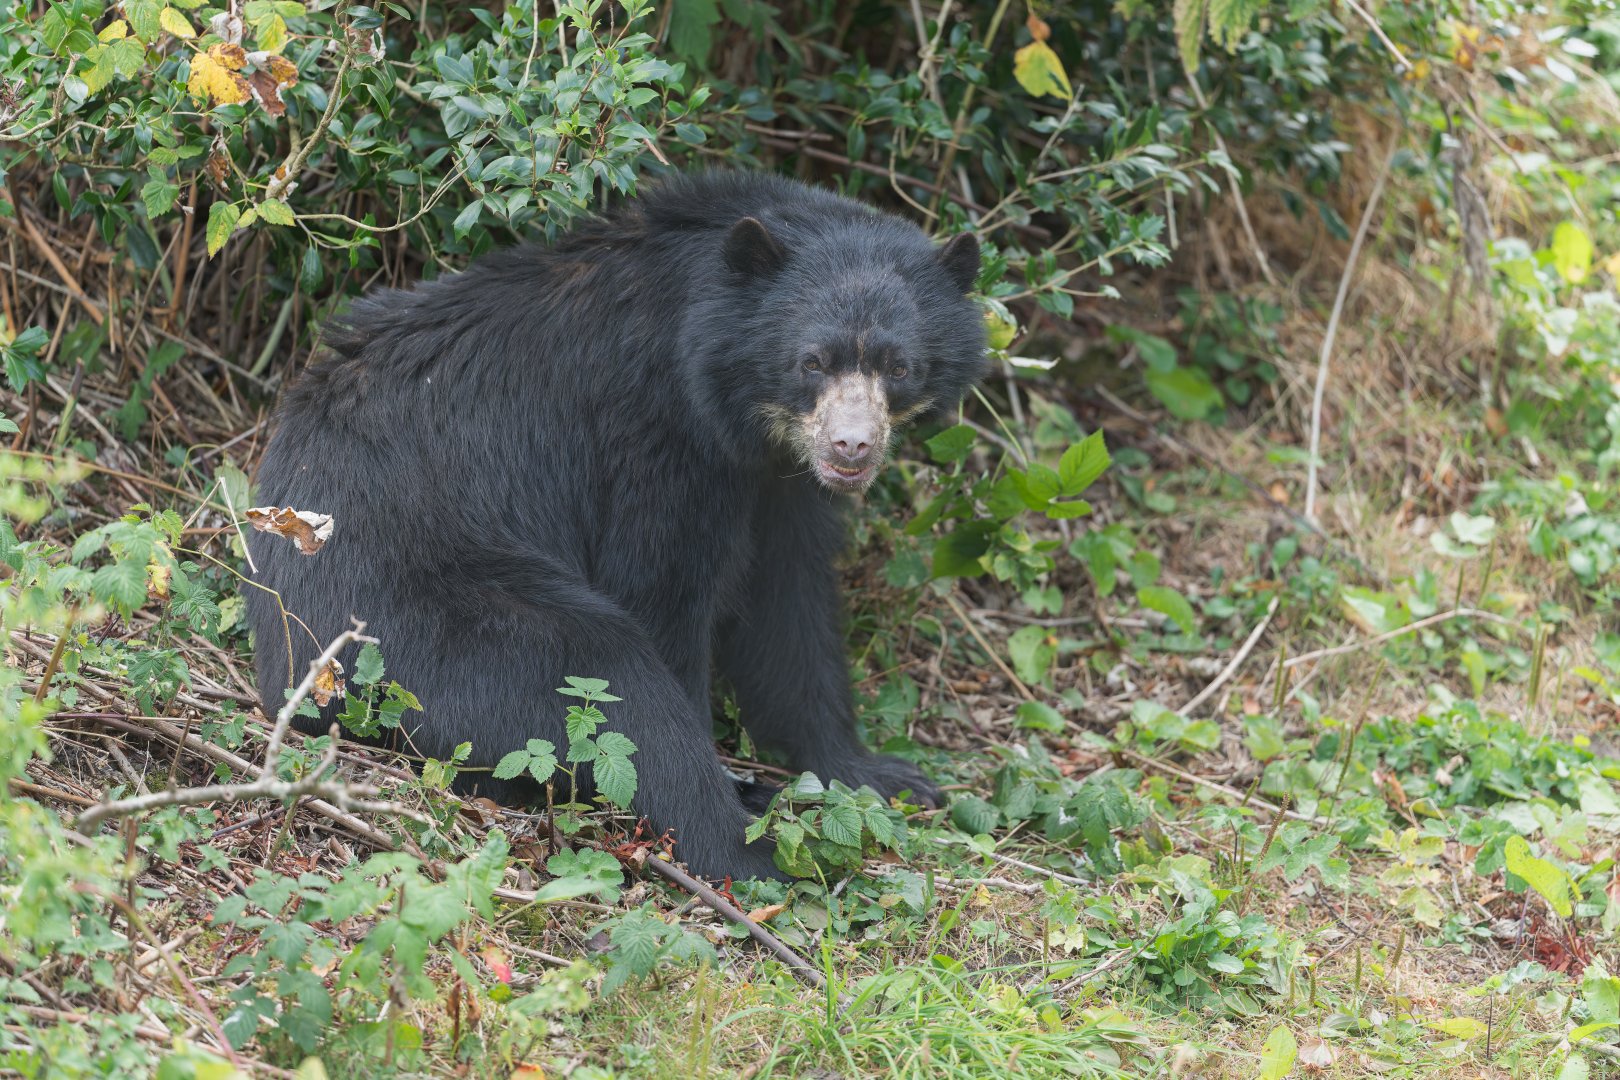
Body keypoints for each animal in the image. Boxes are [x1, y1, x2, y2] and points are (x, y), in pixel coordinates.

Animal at [244, 170, 986, 882]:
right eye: (812, 361)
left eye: (898, 365)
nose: (850, 448)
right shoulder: (654, 439)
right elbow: (664, 597)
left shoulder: (776, 480)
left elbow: (788, 608)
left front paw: (877, 774)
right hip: (415, 629)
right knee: (610, 678)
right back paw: (750, 848)